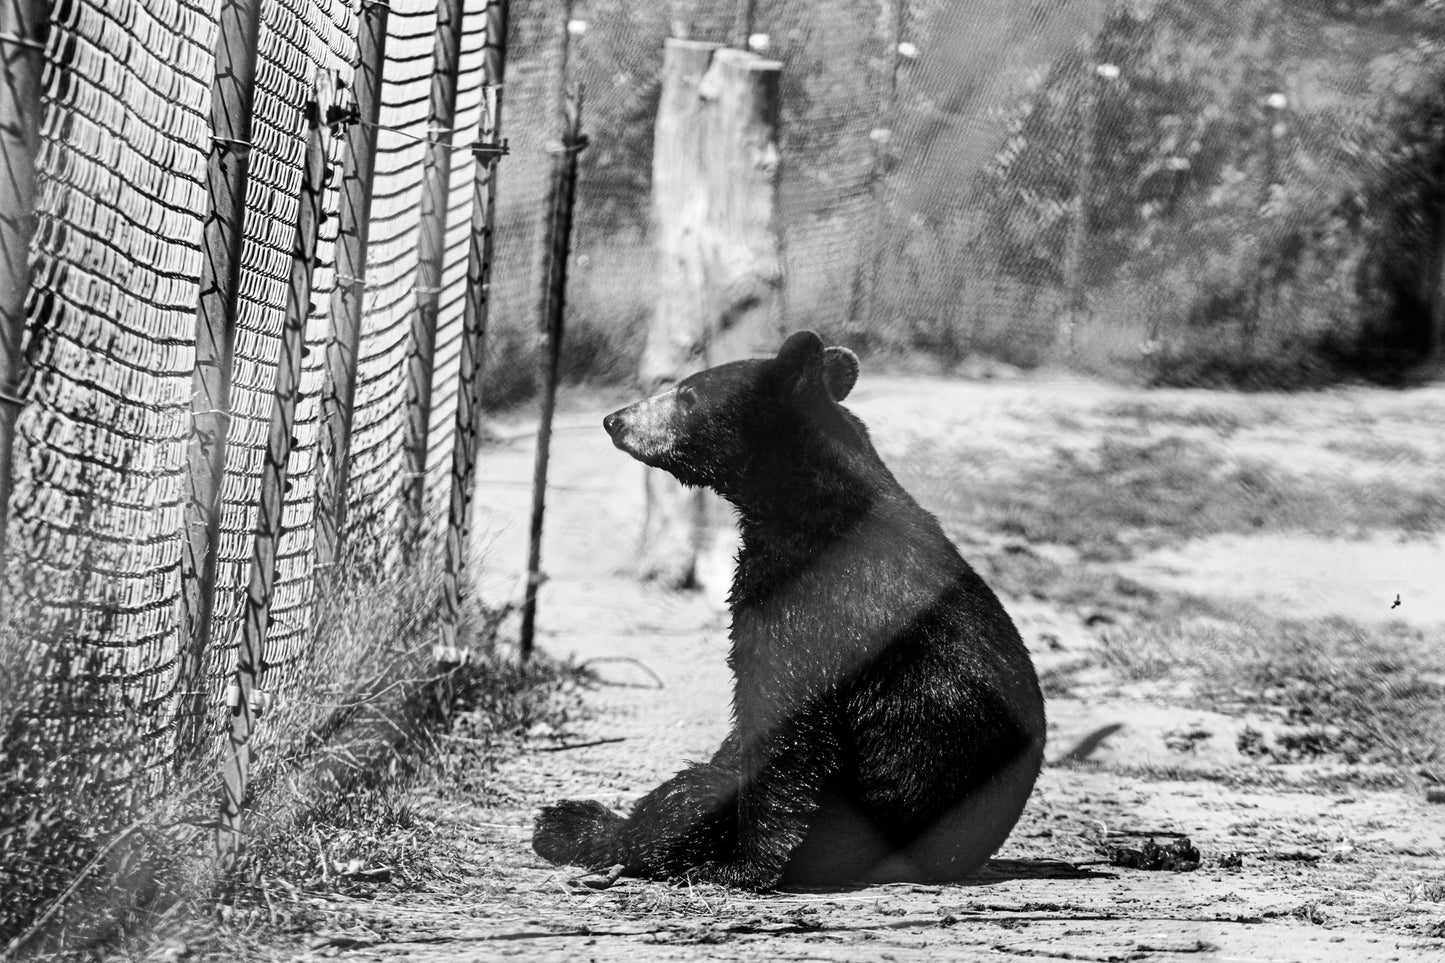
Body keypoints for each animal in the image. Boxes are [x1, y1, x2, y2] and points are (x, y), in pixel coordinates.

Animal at [532, 330, 1046, 889]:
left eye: (687, 394)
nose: (614, 420)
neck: (803, 501)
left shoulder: (812, 594)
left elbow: (785, 716)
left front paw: (740, 865)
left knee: (691, 794)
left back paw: (573, 827)